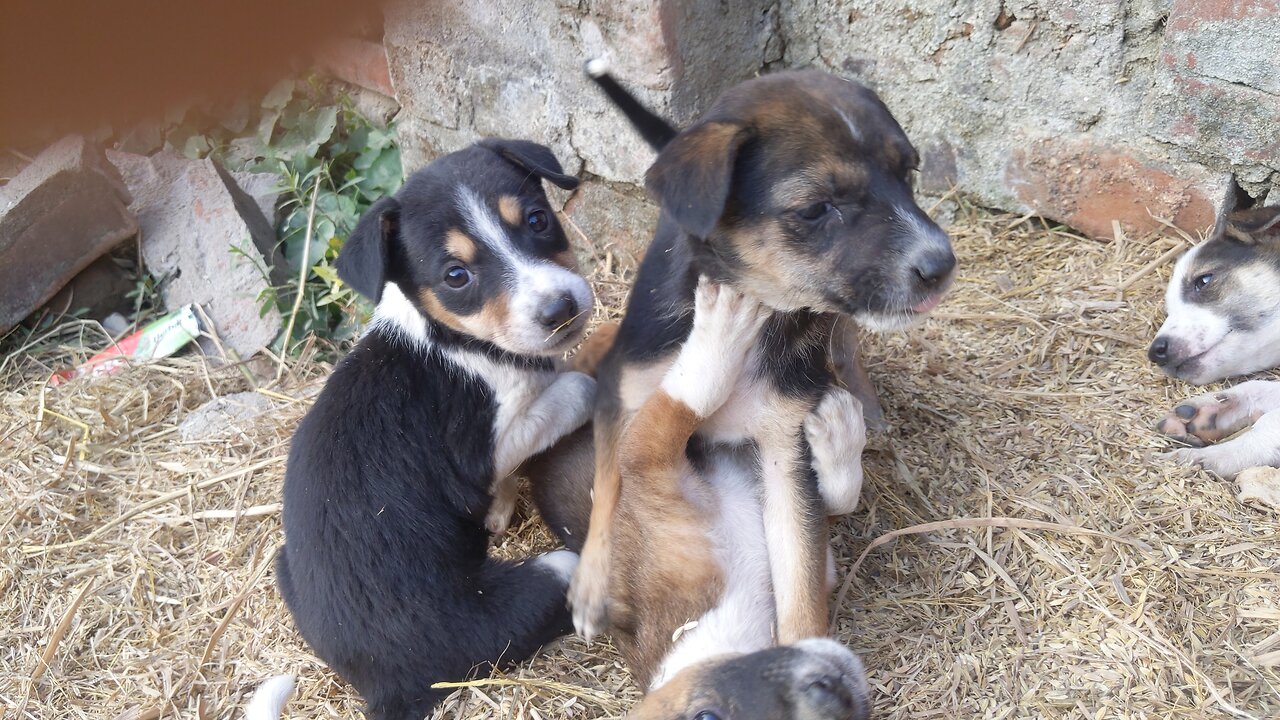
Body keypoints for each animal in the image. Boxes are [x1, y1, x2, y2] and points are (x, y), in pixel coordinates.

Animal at [276, 139, 593, 717]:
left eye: (538, 220)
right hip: (554, 571)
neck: (454, 339)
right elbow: (576, 385)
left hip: (282, 563)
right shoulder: (486, 444)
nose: (561, 310)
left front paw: (495, 514)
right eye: (456, 276)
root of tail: (383, 685)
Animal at [570, 67, 952, 661]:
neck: (763, 315)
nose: (942, 264)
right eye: (816, 208)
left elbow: (800, 580)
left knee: (844, 352)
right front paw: (592, 588)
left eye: (908, 173)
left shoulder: (783, 446)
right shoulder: (623, 390)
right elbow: (609, 486)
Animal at [1152, 202, 1280, 474]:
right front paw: (1211, 410)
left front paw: (1210, 456)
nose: (1155, 352)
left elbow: (1271, 422)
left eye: (1204, 280)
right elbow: (1259, 387)